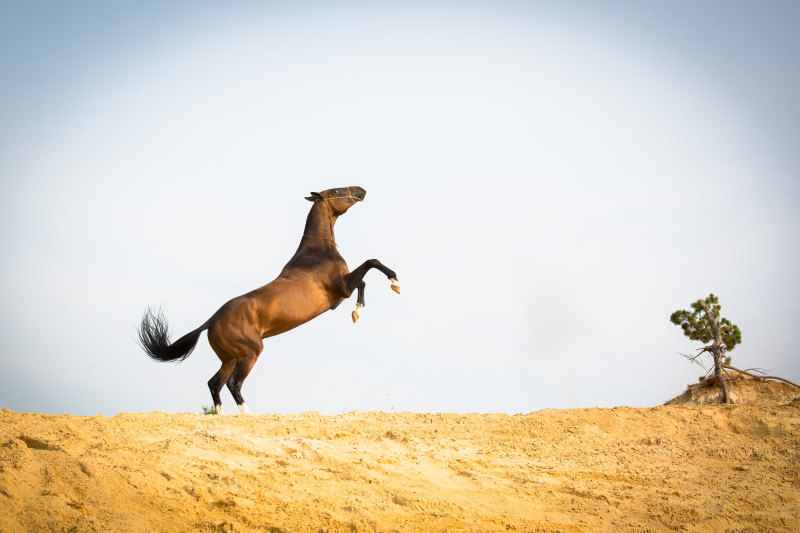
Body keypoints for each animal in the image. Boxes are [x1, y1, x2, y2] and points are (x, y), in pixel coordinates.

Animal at [139, 185, 400, 414]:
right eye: (336, 190)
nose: (361, 190)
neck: (316, 253)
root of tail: (211, 321)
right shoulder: (342, 289)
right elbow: (371, 263)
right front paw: (394, 284)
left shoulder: (340, 295)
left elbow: (364, 279)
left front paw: (357, 312)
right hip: (250, 352)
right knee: (233, 384)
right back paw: (248, 415)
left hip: (230, 358)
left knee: (214, 384)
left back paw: (222, 417)